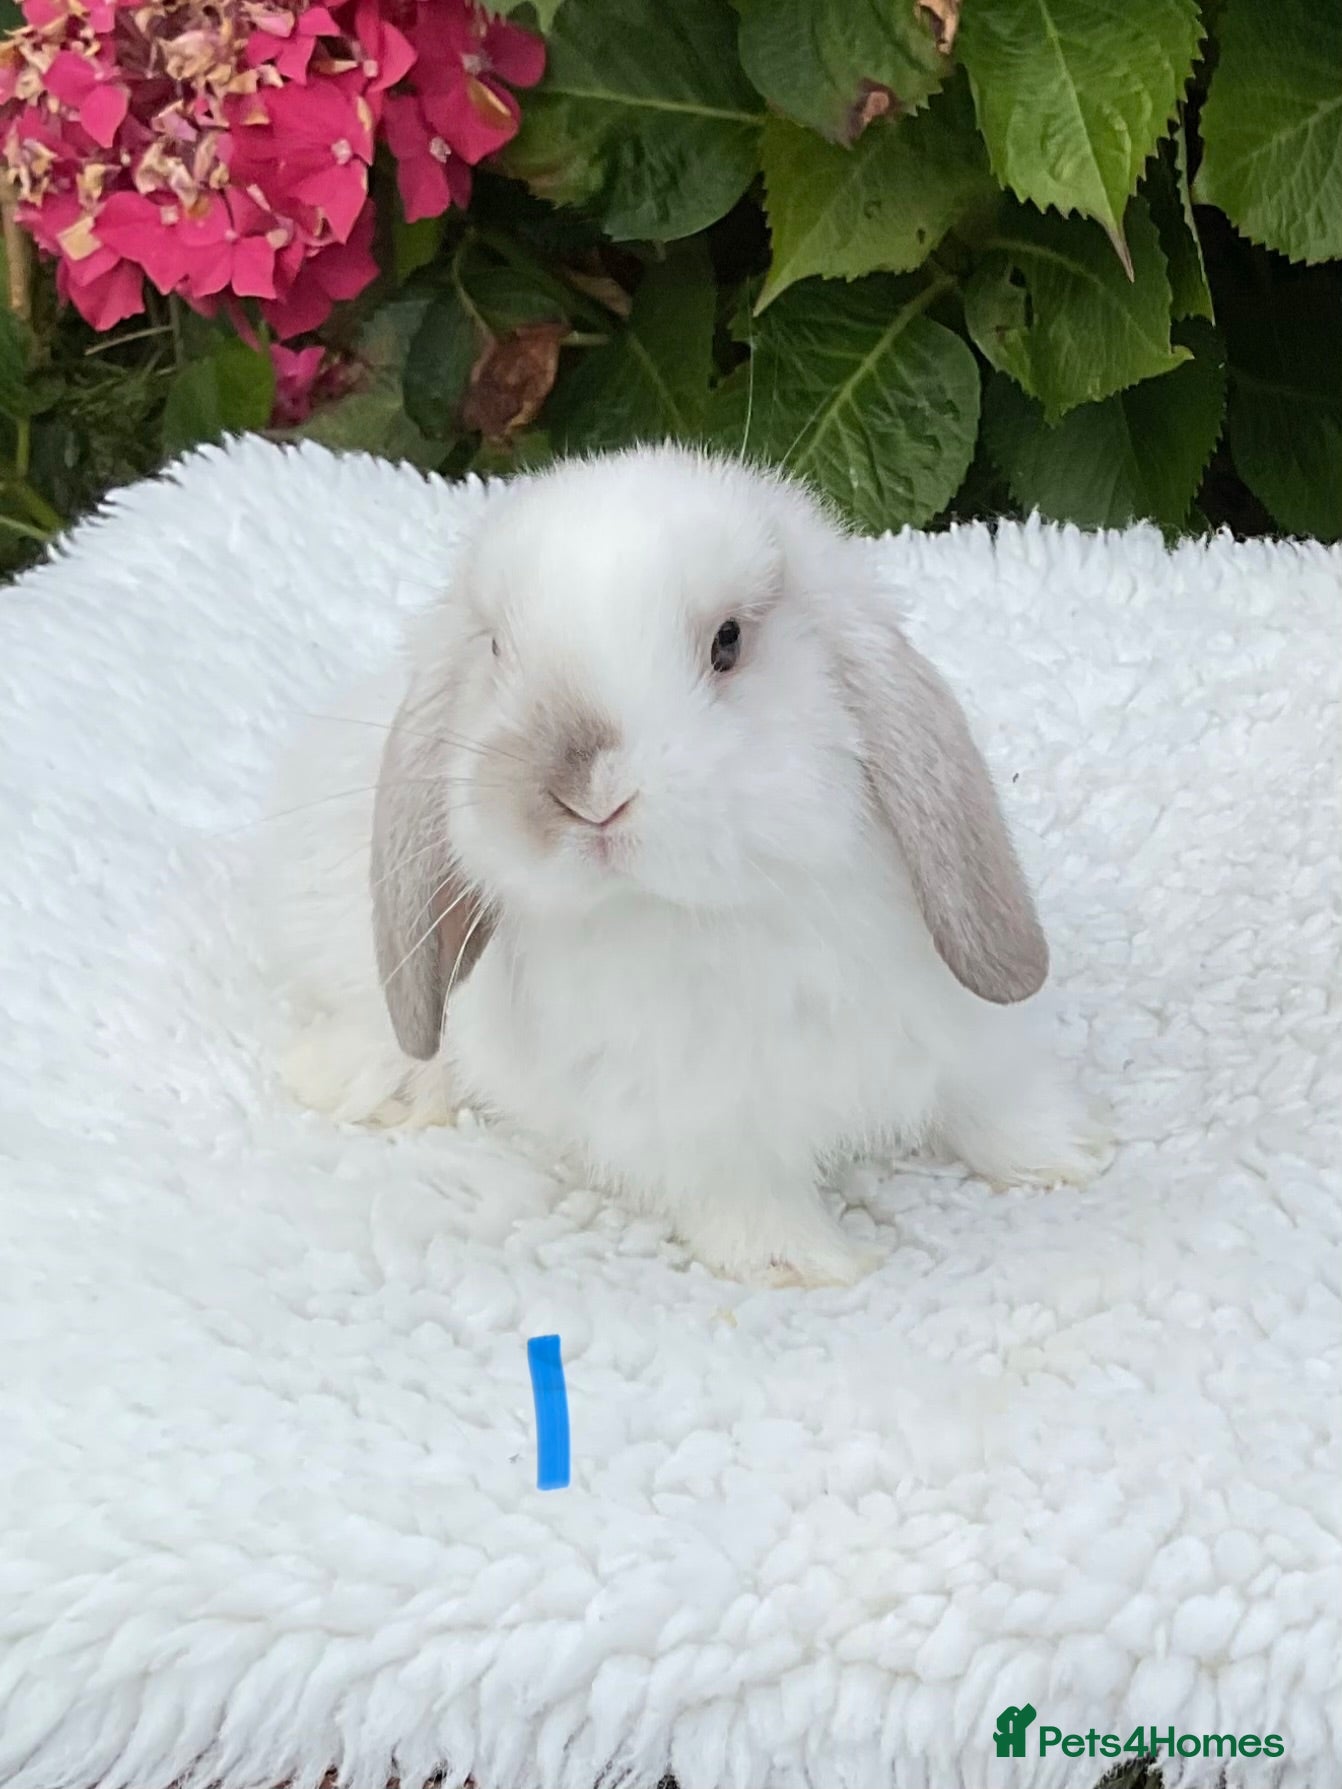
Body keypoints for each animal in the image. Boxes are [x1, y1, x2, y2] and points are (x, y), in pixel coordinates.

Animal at [266, 445, 1108, 1287]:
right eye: (498, 650)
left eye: (727, 641)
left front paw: (1071, 1156)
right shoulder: (697, 1123)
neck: (718, 911)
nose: (585, 794)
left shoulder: (962, 1032)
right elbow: (747, 1194)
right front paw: (806, 1262)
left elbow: (996, 1105)